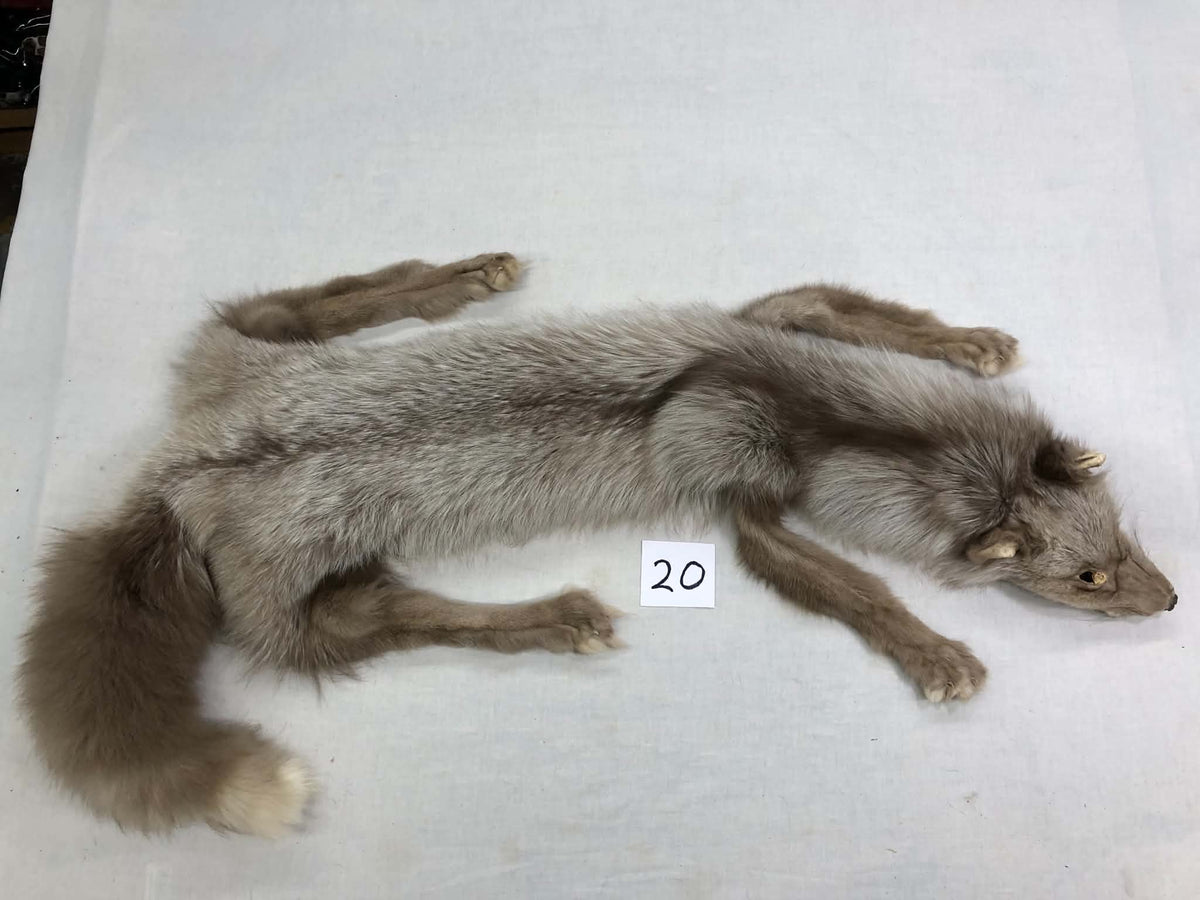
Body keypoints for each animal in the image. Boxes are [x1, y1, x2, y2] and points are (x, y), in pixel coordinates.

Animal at [18, 251, 1176, 838]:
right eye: (1087, 579)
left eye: (1124, 537)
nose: (1166, 602)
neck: (801, 412)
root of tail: (181, 471)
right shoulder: (749, 498)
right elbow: (847, 588)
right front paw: (933, 653)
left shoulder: (770, 323)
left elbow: (837, 301)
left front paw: (967, 342)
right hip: (296, 601)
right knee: (376, 620)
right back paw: (551, 615)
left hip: (255, 349)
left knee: (299, 303)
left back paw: (462, 279)